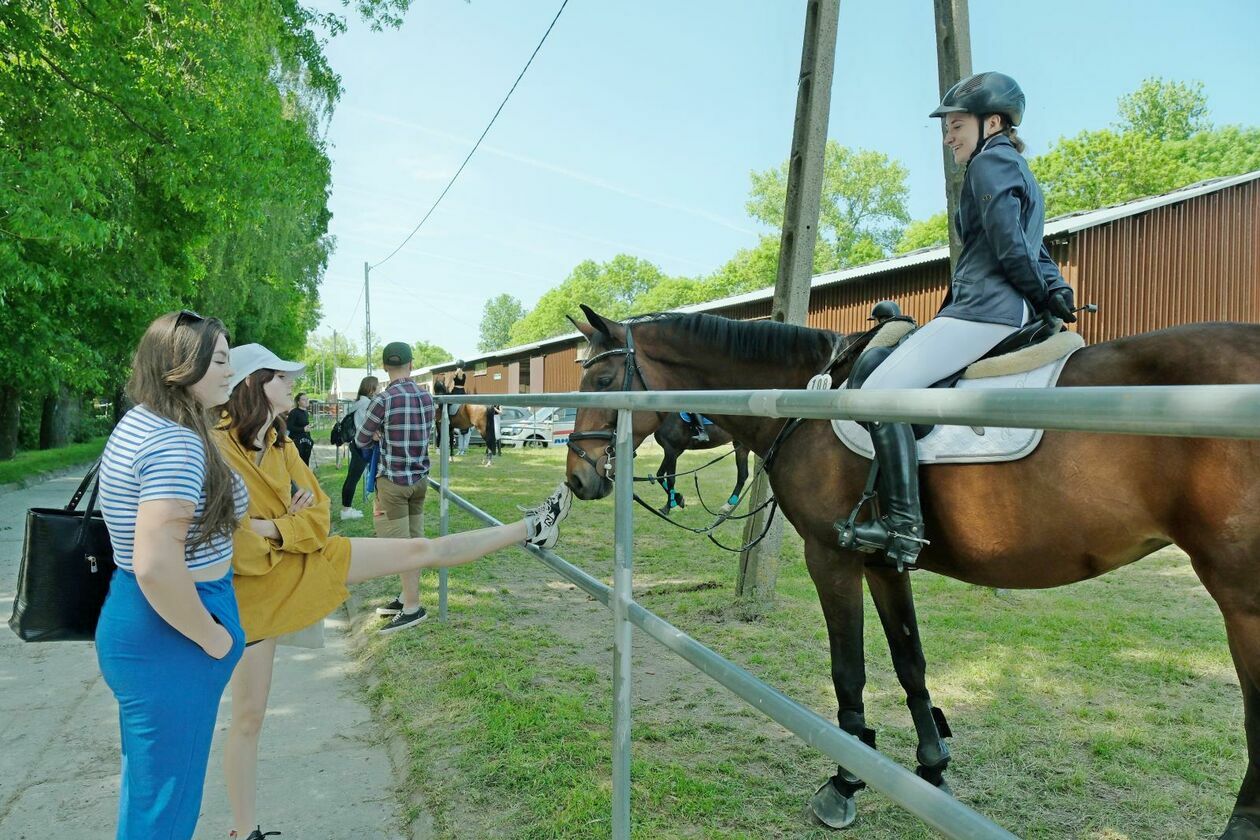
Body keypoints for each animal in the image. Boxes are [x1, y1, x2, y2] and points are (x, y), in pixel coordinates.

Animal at [567, 306, 1260, 836]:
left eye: (601, 378)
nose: (577, 477)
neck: (802, 398)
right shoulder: (884, 560)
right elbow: (910, 662)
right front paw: (932, 768)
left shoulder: (832, 557)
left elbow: (849, 669)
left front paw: (845, 780)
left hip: (1242, 599)